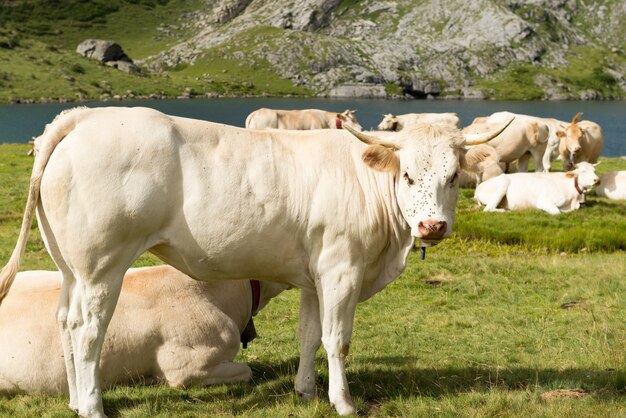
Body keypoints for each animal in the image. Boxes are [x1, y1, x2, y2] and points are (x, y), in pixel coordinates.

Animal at [472, 161, 600, 216]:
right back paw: (506, 210)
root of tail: (480, 187)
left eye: (594, 170)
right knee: (488, 209)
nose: (597, 180)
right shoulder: (545, 200)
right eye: (583, 171)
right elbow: (557, 212)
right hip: (502, 185)